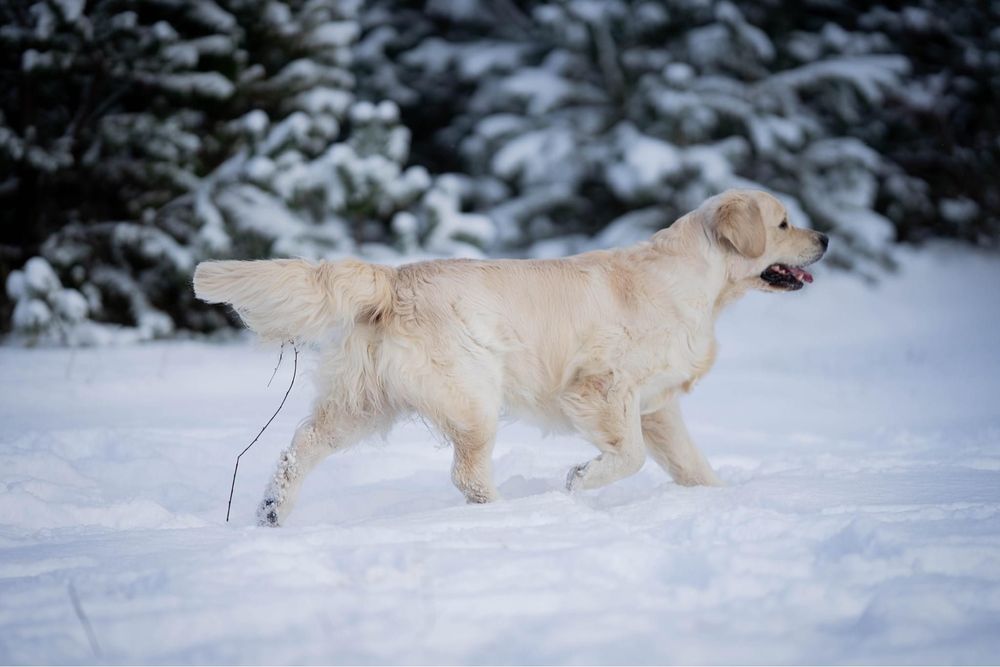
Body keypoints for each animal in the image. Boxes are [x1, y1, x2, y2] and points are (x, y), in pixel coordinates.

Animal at [193, 189, 828, 528]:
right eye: (783, 223)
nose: (825, 239)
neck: (695, 281)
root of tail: (394, 279)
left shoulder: (657, 406)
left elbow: (691, 464)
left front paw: (723, 498)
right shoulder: (600, 387)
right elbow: (629, 456)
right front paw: (580, 480)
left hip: (363, 403)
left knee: (298, 449)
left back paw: (272, 511)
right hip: (473, 400)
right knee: (468, 475)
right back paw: (507, 516)